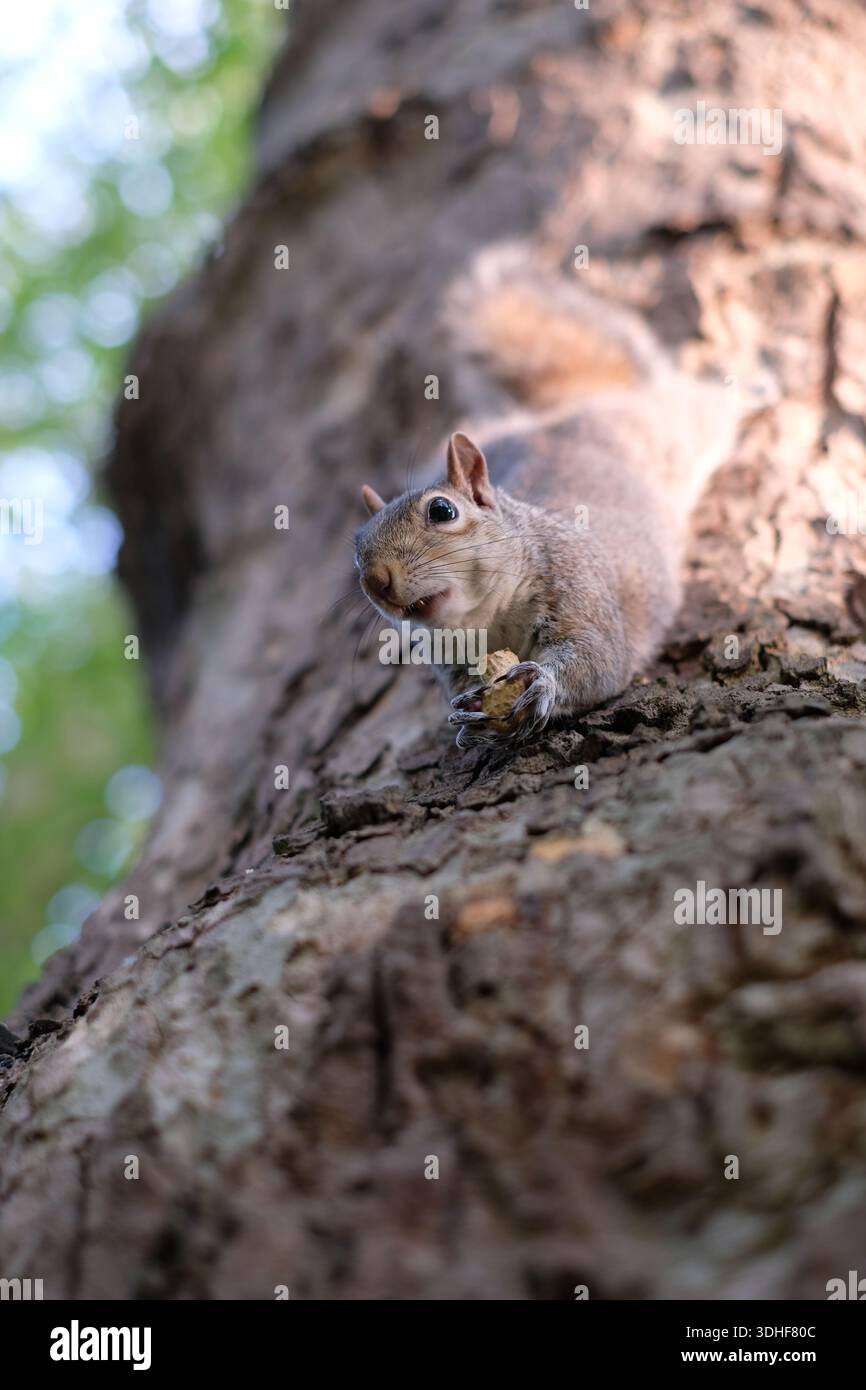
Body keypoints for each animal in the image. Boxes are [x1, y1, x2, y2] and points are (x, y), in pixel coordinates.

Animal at [354, 245, 748, 748]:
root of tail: (565, 410)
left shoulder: (582, 591)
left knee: (707, 402)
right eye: (356, 549)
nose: (376, 581)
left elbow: (599, 660)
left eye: (442, 510)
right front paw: (465, 719)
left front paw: (543, 683)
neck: (489, 618)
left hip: (675, 423)